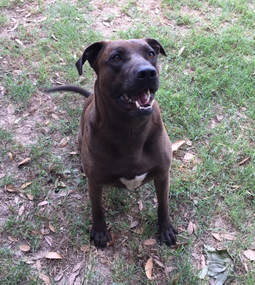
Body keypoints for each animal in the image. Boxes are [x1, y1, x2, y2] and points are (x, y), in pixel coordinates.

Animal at [46, 37, 177, 246]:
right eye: (116, 57)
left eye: (151, 53)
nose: (148, 72)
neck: (131, 129)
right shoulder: (94, 182)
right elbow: (97, 208)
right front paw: (100, 231)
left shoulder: (163, 174)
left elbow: (163, 204)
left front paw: (165, 229)